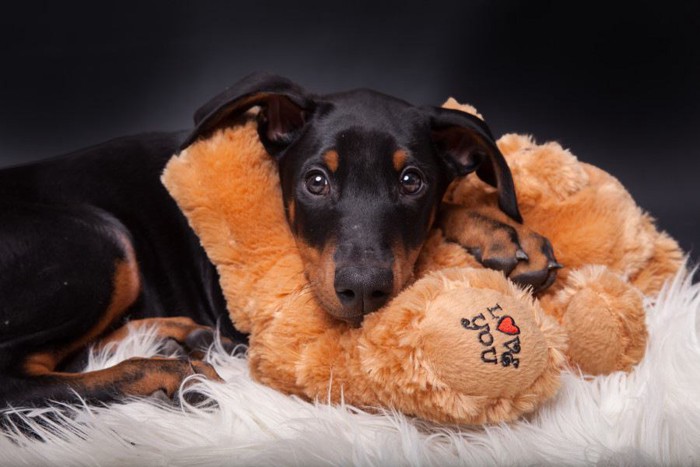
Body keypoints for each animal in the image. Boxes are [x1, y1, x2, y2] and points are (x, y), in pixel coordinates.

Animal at [0, 73, 556, 410]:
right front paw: (500, 230)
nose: (363, 291)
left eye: (411, 181)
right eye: (316, 181)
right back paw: (167, 373)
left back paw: (178, 337)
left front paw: (504, 231)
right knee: (16, 376)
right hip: (102, 239)